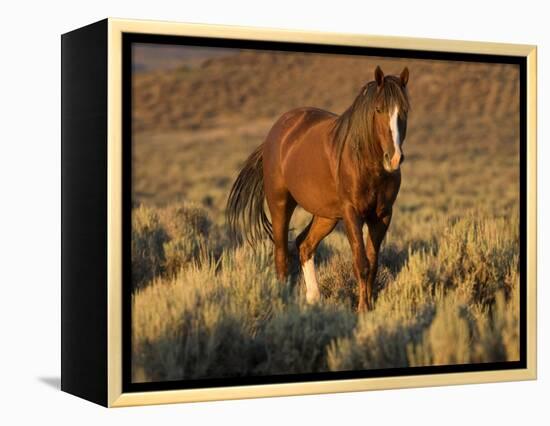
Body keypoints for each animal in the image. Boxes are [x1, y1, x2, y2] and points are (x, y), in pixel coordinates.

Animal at [226, 67, 412, 312]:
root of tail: (276, 132)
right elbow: (361, 263)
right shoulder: (352, 214)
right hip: (280, 204)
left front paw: (369, 307)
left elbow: (372, 264)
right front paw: (362, 309)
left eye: (405, 111)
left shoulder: (382, 216)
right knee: (282, 255)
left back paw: (313, 298)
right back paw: (285, 302)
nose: (394, 159)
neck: (365, 162)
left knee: (304, 245)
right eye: (378, 109)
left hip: (326, 216)